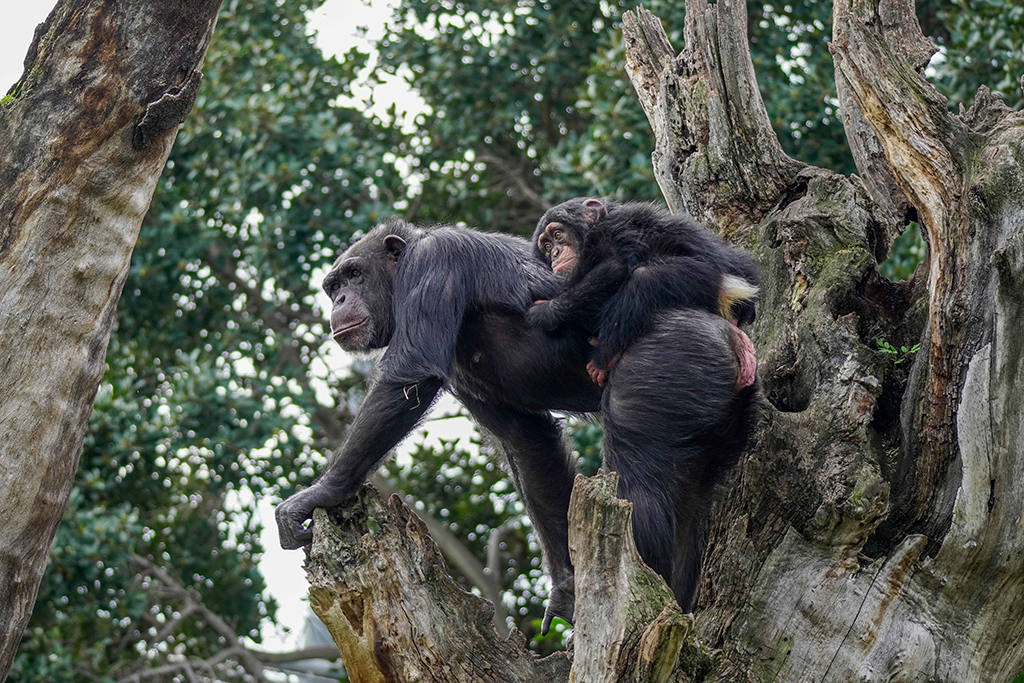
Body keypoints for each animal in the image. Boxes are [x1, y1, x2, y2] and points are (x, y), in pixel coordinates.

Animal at [276, 219, 757, 630]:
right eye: (333, 286)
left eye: (354, 275)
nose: (340, 300)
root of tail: (733, 337)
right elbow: (527, 442)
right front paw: (567, 589)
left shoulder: (435, 262)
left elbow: (408, 378)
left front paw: (317, 495)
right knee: (691, 498)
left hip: (671, 357)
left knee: (640, 481)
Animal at [528, 197, 761, 387]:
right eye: (546, 246)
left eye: (558, 234)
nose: (555, 253)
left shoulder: (611, 230)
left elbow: (613, 267)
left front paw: (545, 312)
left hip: (710, 280)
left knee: (643, 279)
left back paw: (606, 356)